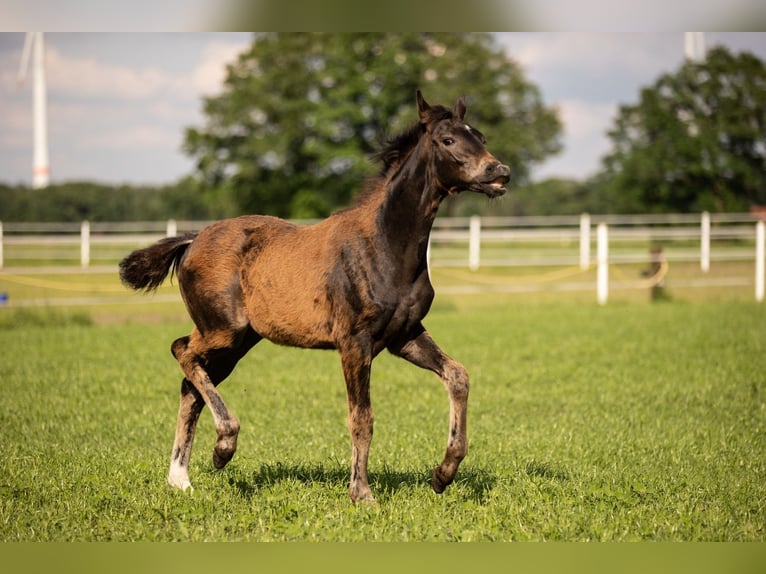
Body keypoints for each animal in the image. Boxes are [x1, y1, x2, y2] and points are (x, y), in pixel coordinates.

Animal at [120, 91, 510, 504]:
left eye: (481, 137)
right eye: (448, 140)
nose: (499, 172)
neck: (385, 244)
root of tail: (193, 240)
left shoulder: (404, 335)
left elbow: (458, 375)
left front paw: (442, 474)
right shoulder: (354, 342)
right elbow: (362, 418)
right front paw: (362, 494)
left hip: (239, 342)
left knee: (191, 385)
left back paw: (180, 479)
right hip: (222, 329)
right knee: (182, 351)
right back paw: (223, 447)